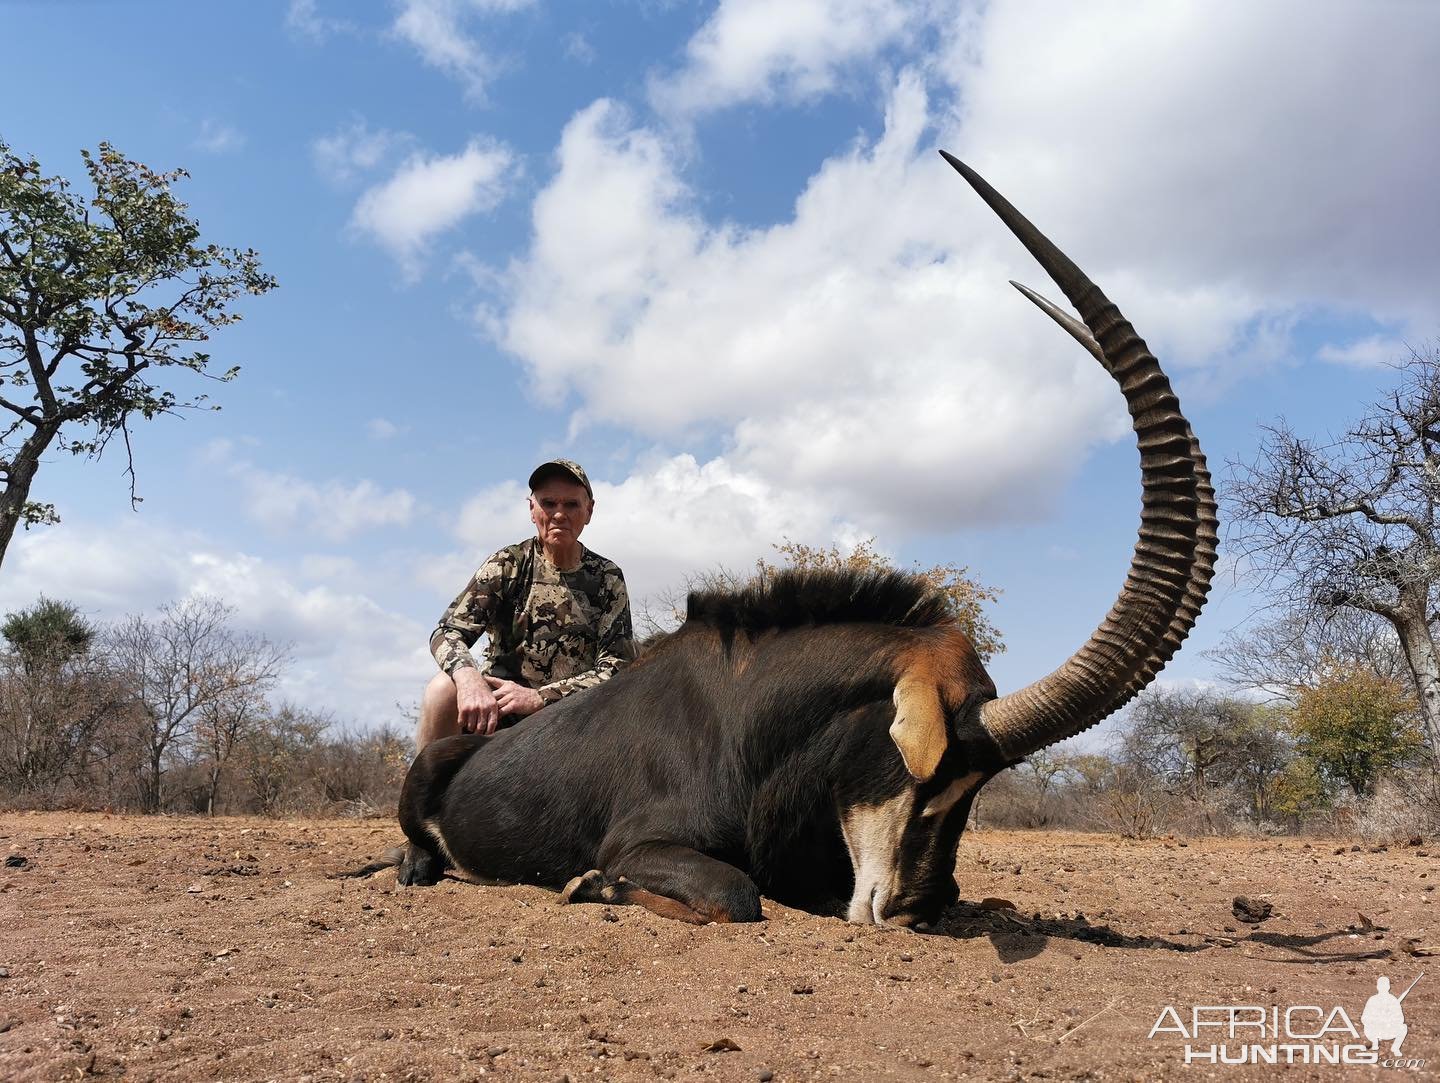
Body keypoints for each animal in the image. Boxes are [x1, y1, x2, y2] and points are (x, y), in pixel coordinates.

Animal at [371, 152, 1215, 927]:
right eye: (928, 772)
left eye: (975, 788)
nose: (919, 905)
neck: (751, 725)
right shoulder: (645, 843)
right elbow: (737, 894)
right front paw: (590, 884)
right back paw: (423, 864)